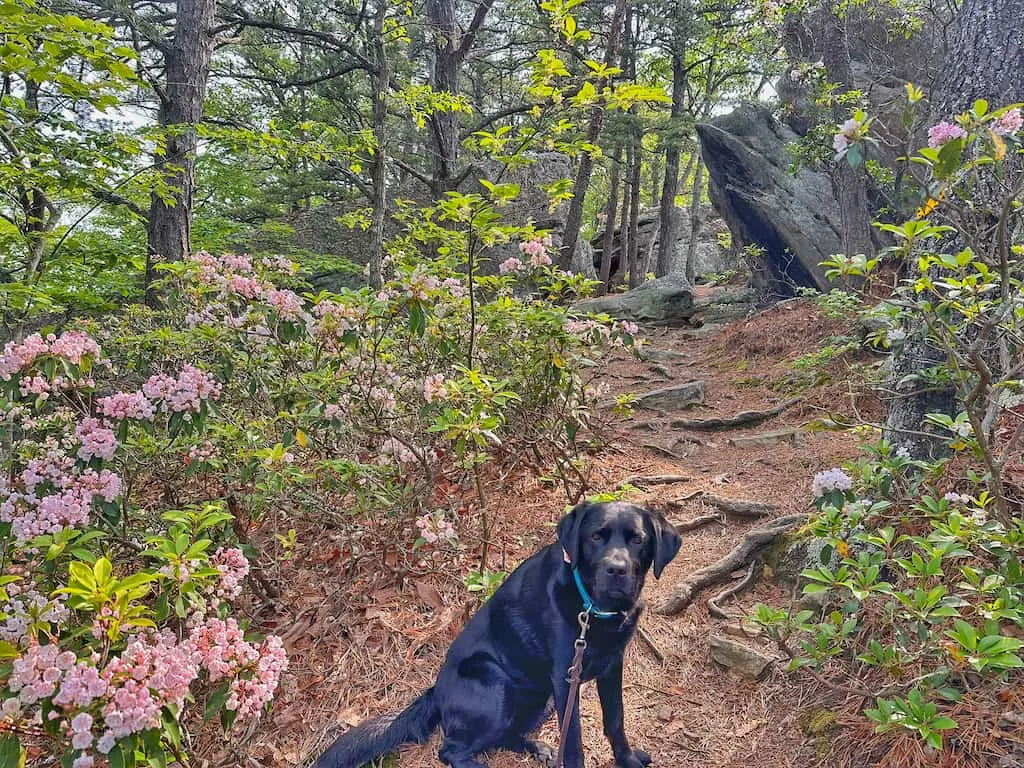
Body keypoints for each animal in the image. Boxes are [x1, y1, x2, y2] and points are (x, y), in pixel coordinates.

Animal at [315, 501, 684, 768]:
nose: (616, 570)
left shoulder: (612, 665)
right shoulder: (567, 678)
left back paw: (538, 748)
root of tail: (435, 692)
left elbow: (615, 720)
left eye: (637, 539)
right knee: (451, 751)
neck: (595, 608)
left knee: (506, 735)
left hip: (541, 698)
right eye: (595, 537)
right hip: (496, 685)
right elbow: (574, 743)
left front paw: (627, 760)